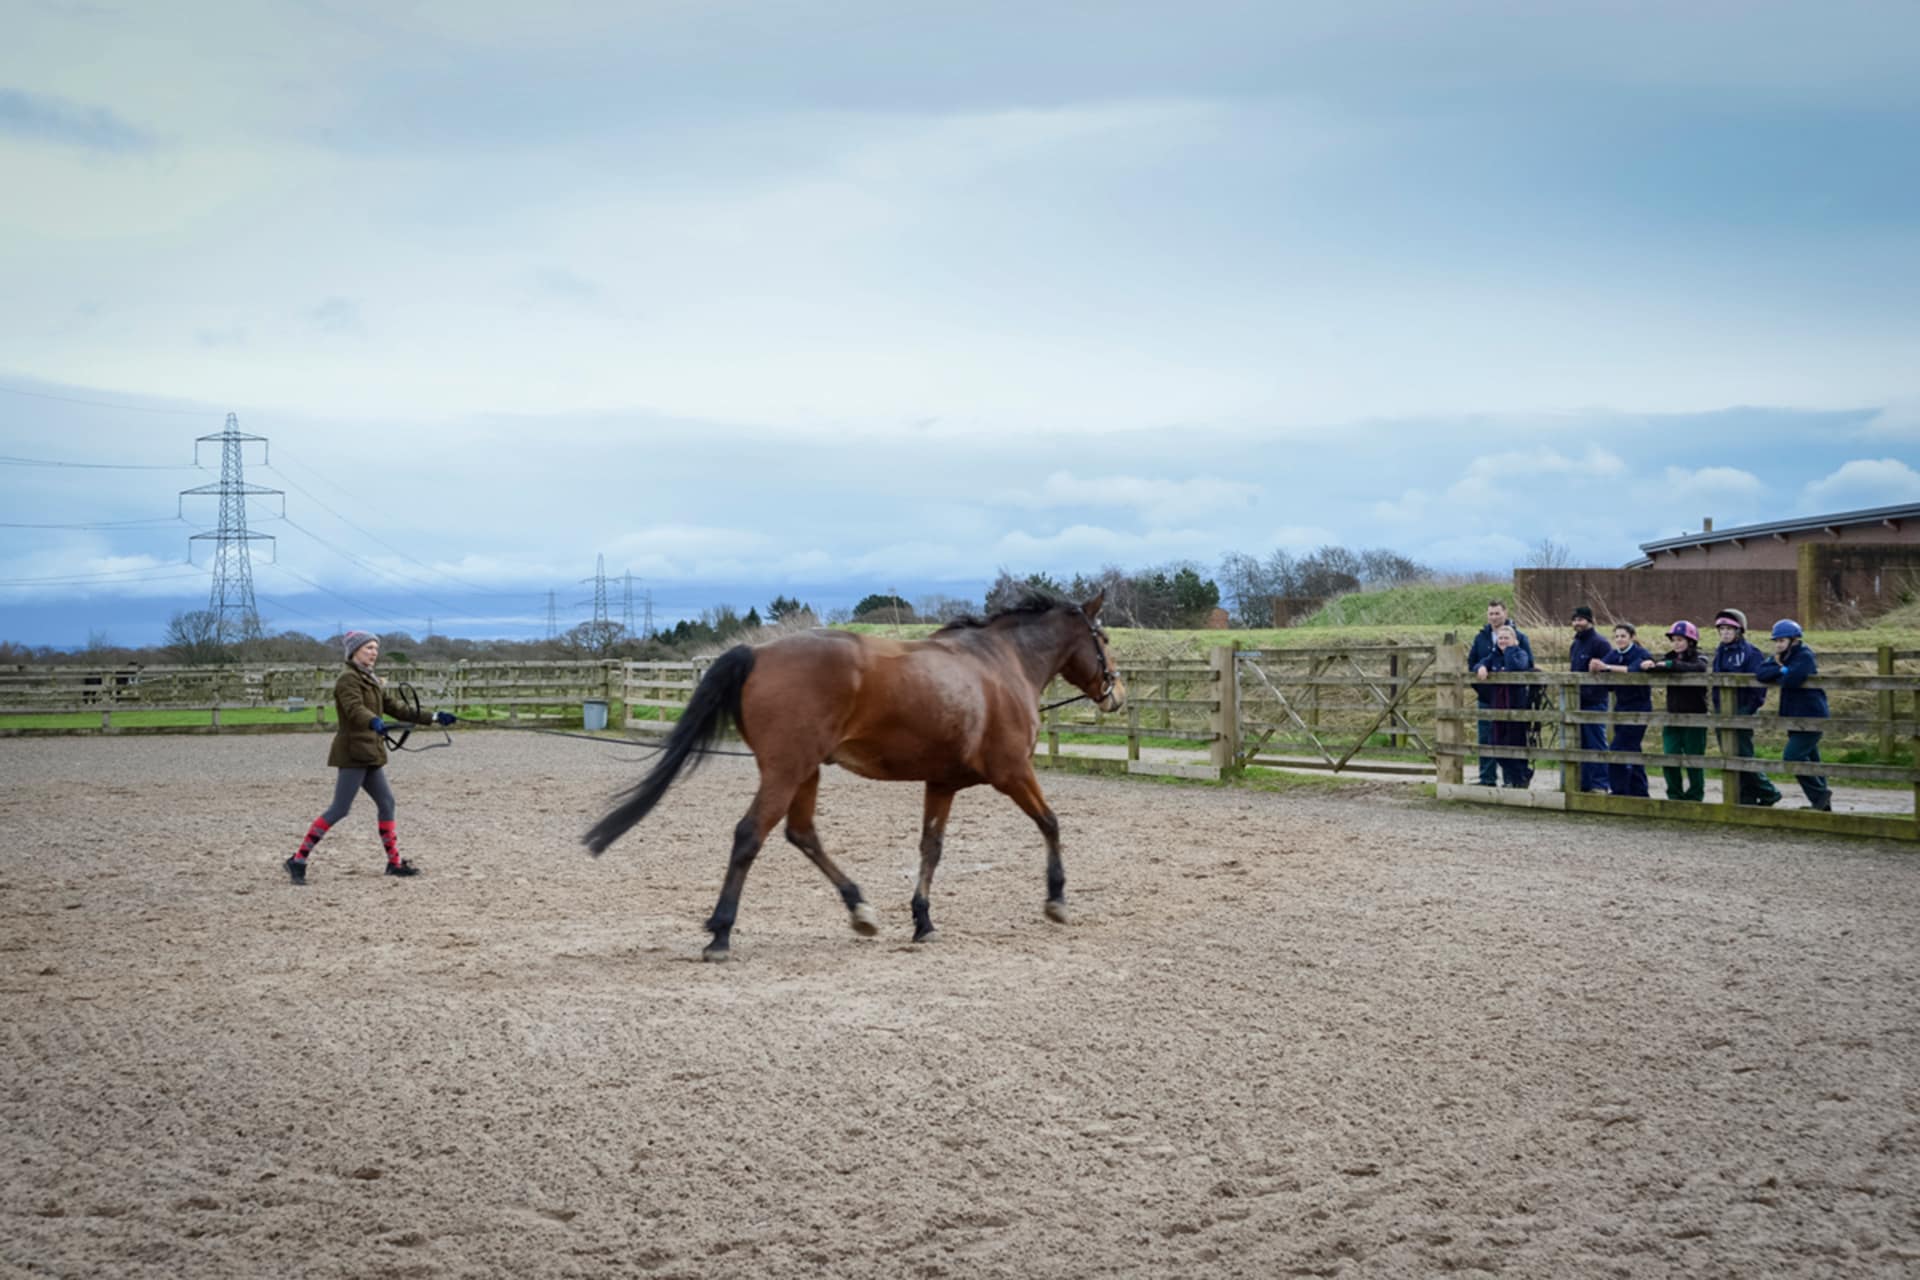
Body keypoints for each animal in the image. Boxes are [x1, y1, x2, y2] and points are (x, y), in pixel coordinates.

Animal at [579, 594, 1121, 955]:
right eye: (1104, 638)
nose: (1115, 694)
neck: (1000, 665)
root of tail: (757, 653)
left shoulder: (942, 783)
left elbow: (931, 848)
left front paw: (922, 921)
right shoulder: (1013, 772)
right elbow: (1050, 823)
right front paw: (1056, 901)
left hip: (805, 772)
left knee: (802, 834)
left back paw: (860, 911)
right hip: (786, 770)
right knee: (750, 834)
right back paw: (721, 932)